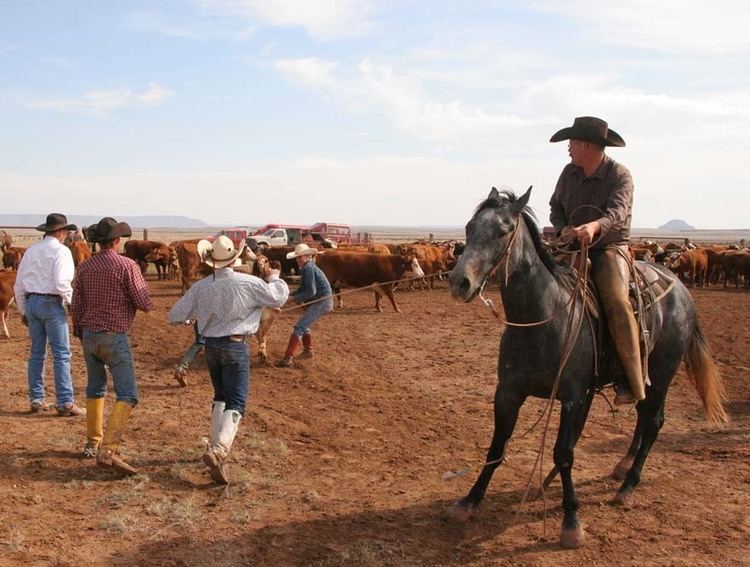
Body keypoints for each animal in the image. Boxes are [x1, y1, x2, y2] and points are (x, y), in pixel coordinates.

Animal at [446, 187, 728, 552]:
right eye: (469, 228)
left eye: (503, 230)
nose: (460, 282)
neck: (543, 317)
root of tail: (680, 288)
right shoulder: (507, 393)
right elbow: (497, 447)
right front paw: (469, 502)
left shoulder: (572, 397)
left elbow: (564, 453)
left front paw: (571, 521)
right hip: (644, 378)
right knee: (642, 416)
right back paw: (623, 466)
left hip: (664, 373)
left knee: (653, 422)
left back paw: (628, 486)